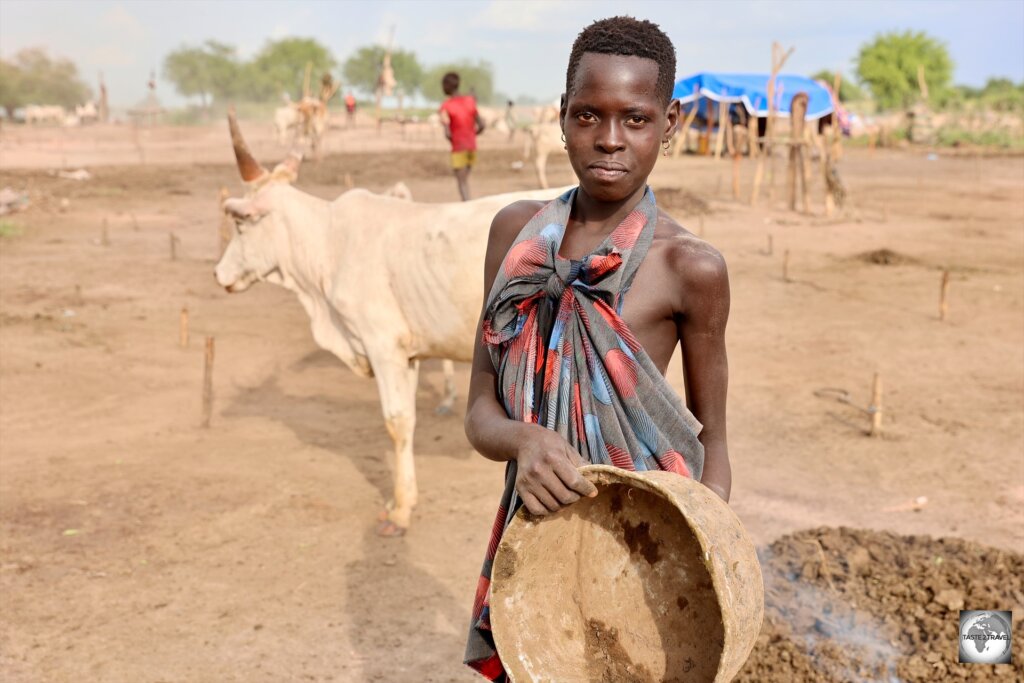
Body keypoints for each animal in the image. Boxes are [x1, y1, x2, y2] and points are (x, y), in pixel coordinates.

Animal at [214, 112, 569, 536]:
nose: (219, 274)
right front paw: (404, 498)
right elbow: (408, 421)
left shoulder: (382, 345)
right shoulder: (408, 353)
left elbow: (396, 422)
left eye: (240, 225)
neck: (327, 245)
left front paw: (400, 511)